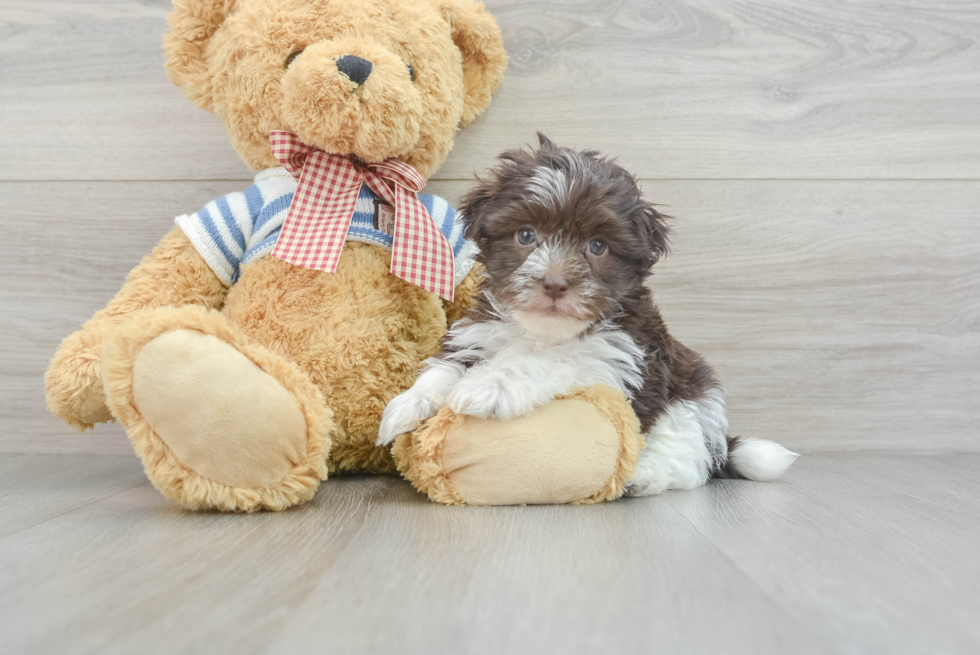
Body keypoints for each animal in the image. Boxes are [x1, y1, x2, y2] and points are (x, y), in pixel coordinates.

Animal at [376, 136, 796, 494]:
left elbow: (552, 360)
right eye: (525, 235)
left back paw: (644, 475)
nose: (555, 283)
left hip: (692, 399)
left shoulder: (616, 360)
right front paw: (409, 404)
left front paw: (490, 384)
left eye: (597, 246)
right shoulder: (478, 332)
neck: (544, 330)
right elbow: (444, 368)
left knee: (688, 457)